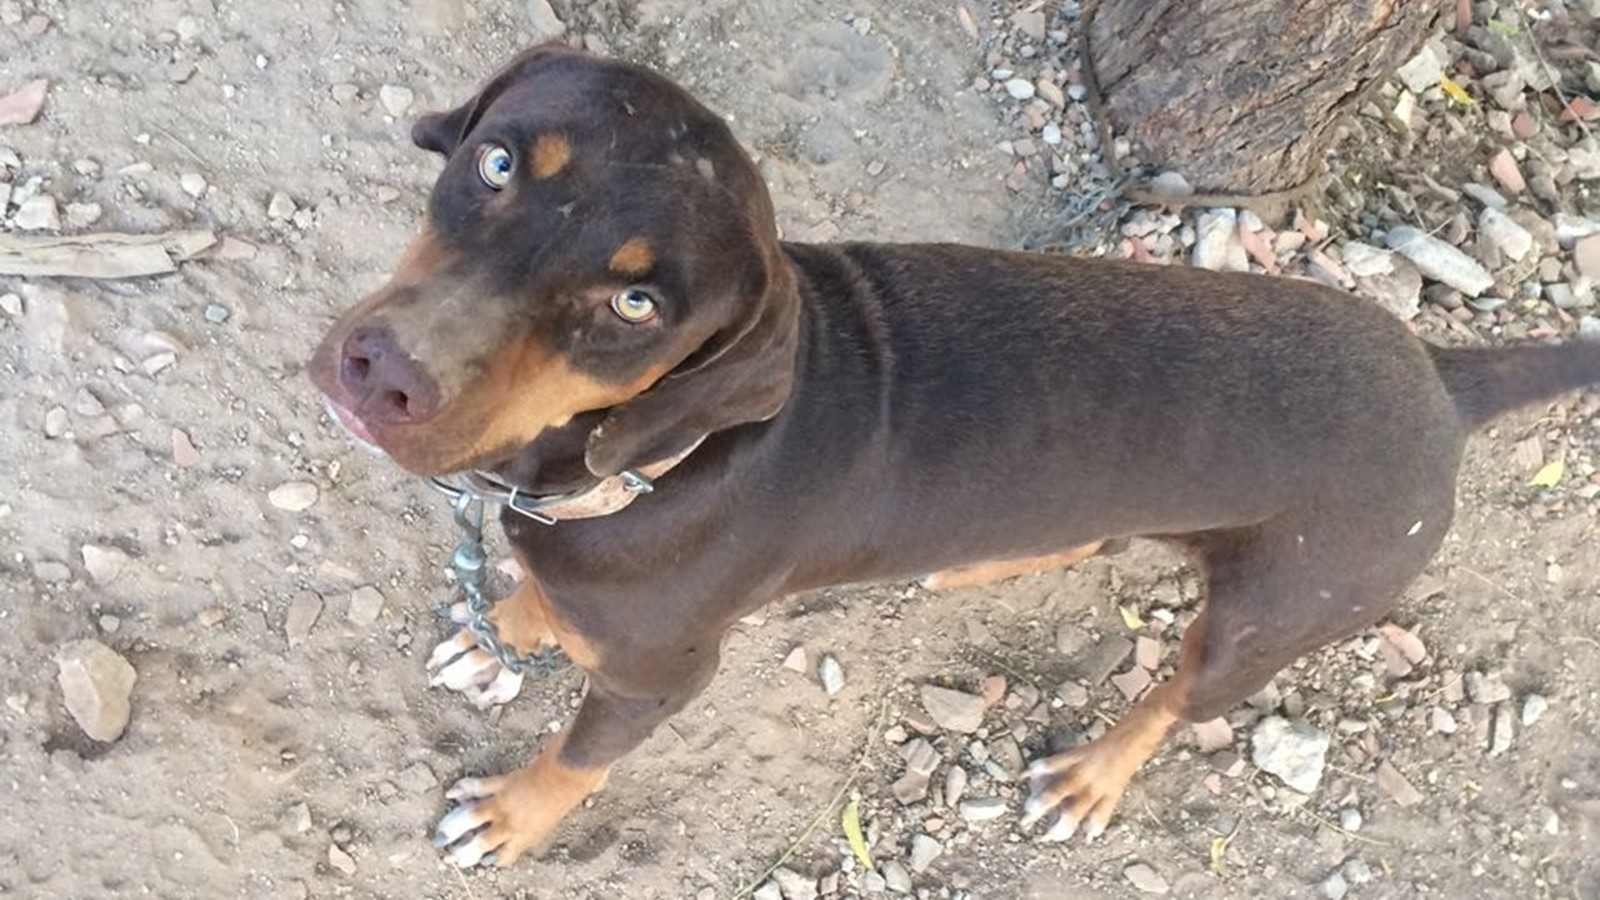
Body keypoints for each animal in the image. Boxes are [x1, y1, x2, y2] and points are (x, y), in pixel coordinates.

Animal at [305, 45, 1593, 864]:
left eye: (635, 304)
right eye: (498, 162)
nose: (384, 372)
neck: (645, 458)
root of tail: (1445, 376)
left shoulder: (660, 678)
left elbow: (576, 760)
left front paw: (515, 816)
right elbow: (534, 597)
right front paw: (509, 628)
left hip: (1278, 611)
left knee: (1176, 696)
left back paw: (1092, 776)